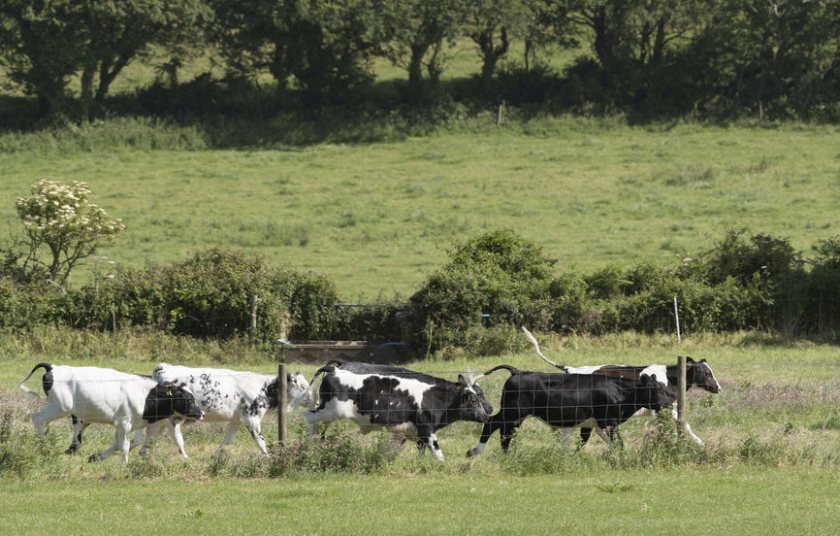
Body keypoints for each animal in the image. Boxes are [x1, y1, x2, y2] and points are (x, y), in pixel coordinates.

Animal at [18, 362, 205, 462]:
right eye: (188, 399)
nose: (201, 413)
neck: (146, 395)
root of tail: (53, 367)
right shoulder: (124, 422)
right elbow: (124, 445)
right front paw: (125, 465)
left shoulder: (125, 425)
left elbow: (120, 443)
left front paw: (96, 457)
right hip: (59, 407)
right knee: (37, 418)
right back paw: (45, 447)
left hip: (59, 408)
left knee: (43, 422)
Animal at [149, 362, 314, 454]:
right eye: (303, 386)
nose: (315, 400)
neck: (264, 388)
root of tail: (165, 368)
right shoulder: (251, 419)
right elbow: (260, 442)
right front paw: (268, 460)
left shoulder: (236, 421)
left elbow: (226, 441)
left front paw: (215, 458)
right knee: (171, 434)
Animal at [302, 360, 492, 460]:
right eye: (474, 399)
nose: (487, 413)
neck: (435, 397)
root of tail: (334, 369)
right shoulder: (426, 429)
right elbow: (438, 453)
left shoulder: (415, 433)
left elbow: (421, 452)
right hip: (330, 411)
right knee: (308, 417)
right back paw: (308, 446)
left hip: (328, 412)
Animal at [462, 364, 672, 456]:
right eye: (656, 389)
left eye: (663, 388)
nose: (670, 404)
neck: (619, 391)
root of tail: (518, 371)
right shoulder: (610, 422)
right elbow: (618, 443)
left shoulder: (592, 423)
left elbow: (584, 442)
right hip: (513, 412)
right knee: (492, 424)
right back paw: (475, 451)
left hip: (516, 416)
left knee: (506, 433)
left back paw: (507, 455)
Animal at [520, 326, 720, 448]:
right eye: (706, 373)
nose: (718, 388)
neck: (668, 378)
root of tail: (574, 369)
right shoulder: (662, 408)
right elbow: (682, 423)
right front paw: (700, 443)